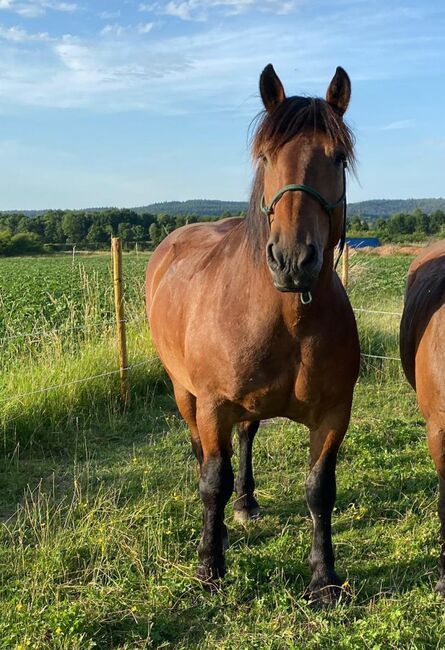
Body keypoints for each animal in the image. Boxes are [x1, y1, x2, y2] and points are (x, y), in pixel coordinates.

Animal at [146, 63, 360, 600]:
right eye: (266, 156)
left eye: (337, 157)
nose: (292, 260)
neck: (288, 320)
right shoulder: (213, 405)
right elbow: (212, 481)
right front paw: (210, 565)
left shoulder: (334, 415)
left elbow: (319, 490)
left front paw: (324, 577)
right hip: (184, 393)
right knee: (205, 455)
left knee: (244, 439)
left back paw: (245, 504)